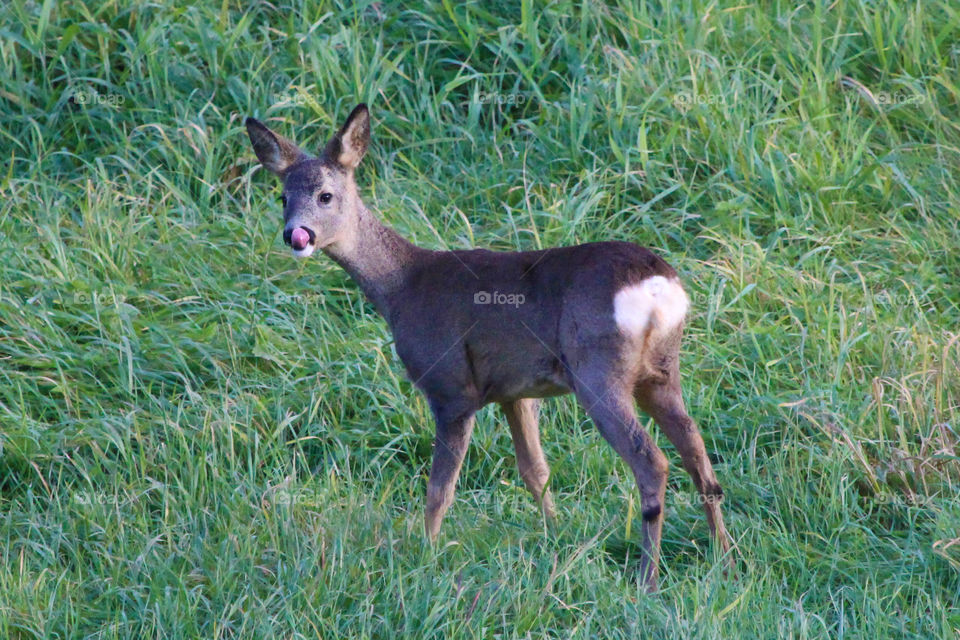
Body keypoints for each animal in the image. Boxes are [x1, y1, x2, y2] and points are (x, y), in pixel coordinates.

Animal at [245, 104, 731, 591]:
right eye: (282, 198)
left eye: (325, 195)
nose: (295, 235)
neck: (401, 287)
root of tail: (659, 286)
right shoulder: (515, 390)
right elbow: (535, 470)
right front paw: (555, 533)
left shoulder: (450, 387)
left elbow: (440, 488)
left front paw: (424, 555)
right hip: (661, 371)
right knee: (697, 452)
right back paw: (724, 554)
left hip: (598, 370)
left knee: (653, 462)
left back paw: (648, 577)